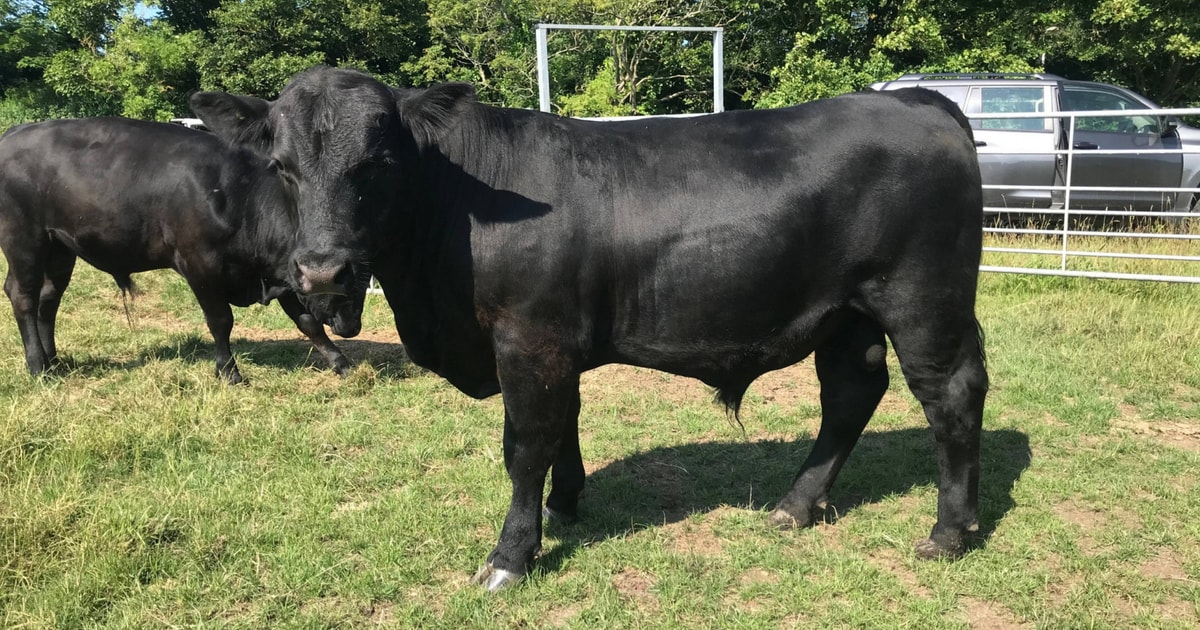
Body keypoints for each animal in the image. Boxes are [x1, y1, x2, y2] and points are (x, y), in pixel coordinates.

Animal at [0, 117, 367, 384]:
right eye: (343, 278)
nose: (353, 326)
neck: (242, 196)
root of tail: (13, 132)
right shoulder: (200, 267)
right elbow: (221, 320)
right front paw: (229, 372)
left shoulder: (281, 274)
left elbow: (308, 322)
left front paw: (342, 364)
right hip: (24, 242)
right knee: (23, 296)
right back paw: (39, 367)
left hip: (60, 250)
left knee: (48, 300)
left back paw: (55, 361)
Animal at [192, 66, 989, 590]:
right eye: (282, 165)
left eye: (379, 160)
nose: (322, 272)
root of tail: (919, 102)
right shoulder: (552, 346)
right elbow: (563, 427)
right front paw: (566, 504)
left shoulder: (527, 339)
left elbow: (524, 445)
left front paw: (511, 555)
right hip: (845, 316)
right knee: (851, 394)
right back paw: (795, 508)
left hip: (923, 301)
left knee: (951, 398)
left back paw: (949, 532)